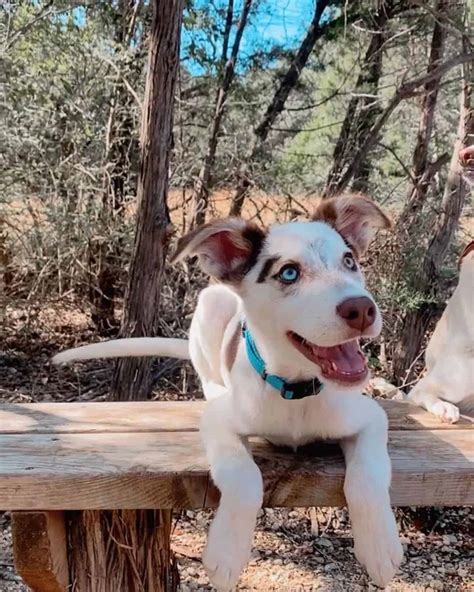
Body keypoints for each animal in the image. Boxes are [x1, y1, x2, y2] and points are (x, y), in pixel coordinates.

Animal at [55, 195, 404, 592]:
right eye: (288, 273)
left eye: (349, 261)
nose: (362, 309)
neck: (295, 391)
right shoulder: (220, 421)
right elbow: (243, 475)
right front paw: (226, 554)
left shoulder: (369, 417)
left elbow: (370, 473)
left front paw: (380, 549)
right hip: (211, 304)